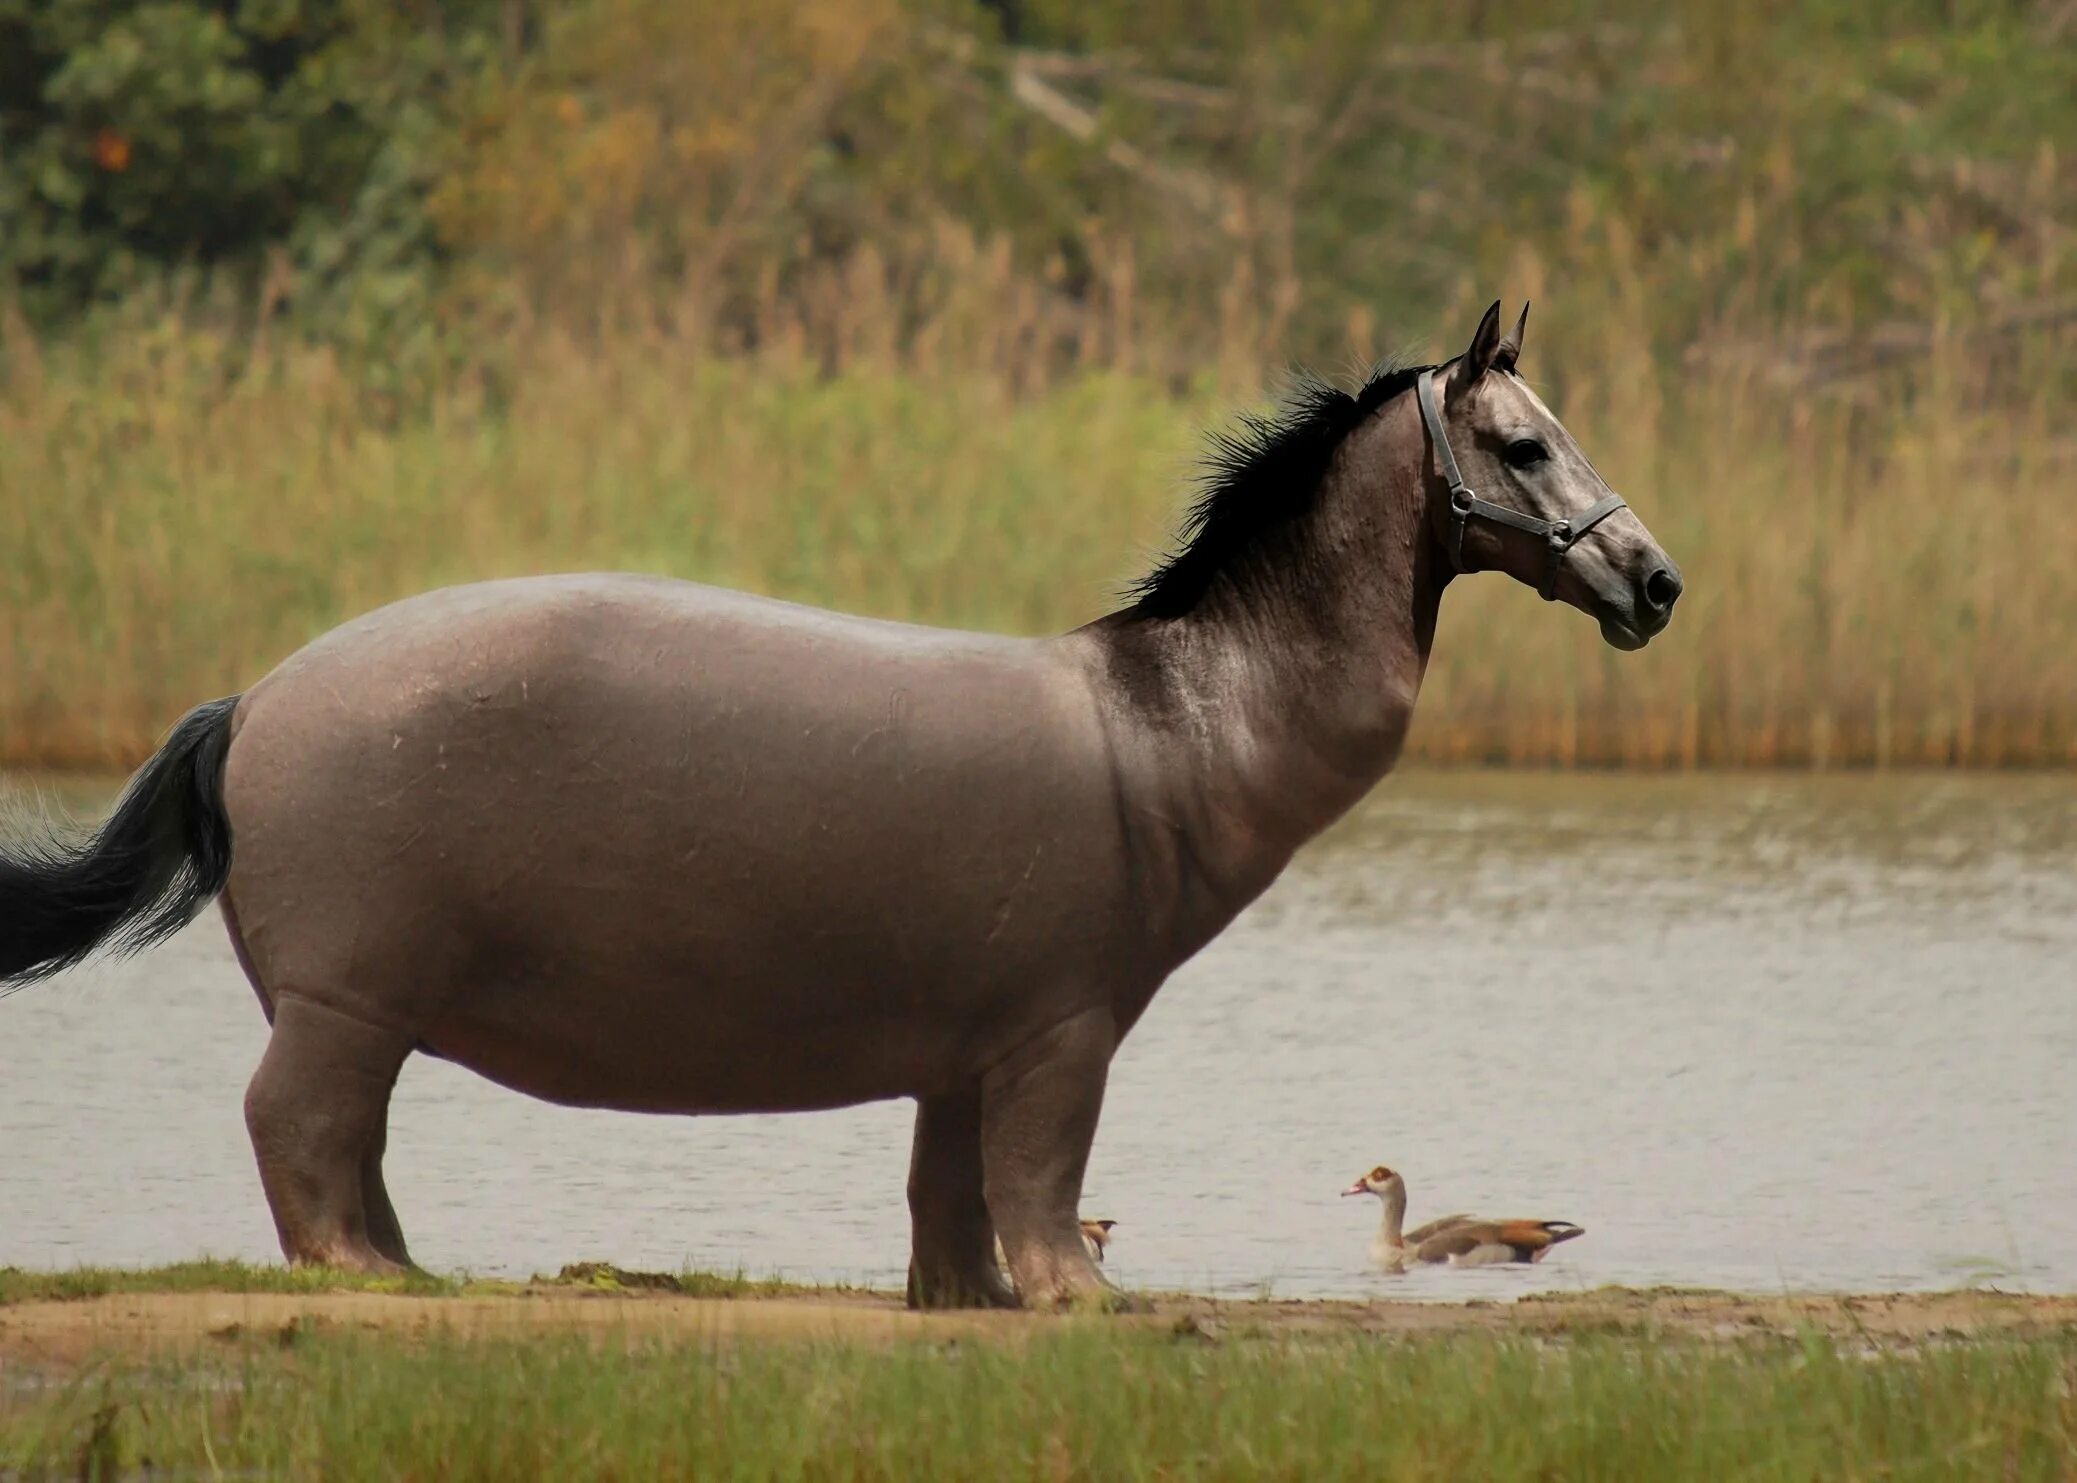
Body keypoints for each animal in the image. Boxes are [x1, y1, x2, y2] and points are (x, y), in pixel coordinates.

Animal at [0, 303, 1678, 1304]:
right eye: (1521, 439)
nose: (1659, 576)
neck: (1178, 706)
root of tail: (249, 695)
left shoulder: (972, 1030)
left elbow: (951, 1180)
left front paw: (974, 1305)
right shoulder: (1069, 1021)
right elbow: (1045, 1165)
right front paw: (1084, 1298)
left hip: (356, 1003)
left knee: (345, 1141)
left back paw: (415, 1270)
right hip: (344, 999)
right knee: (297, 1130)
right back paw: (371, 1279)